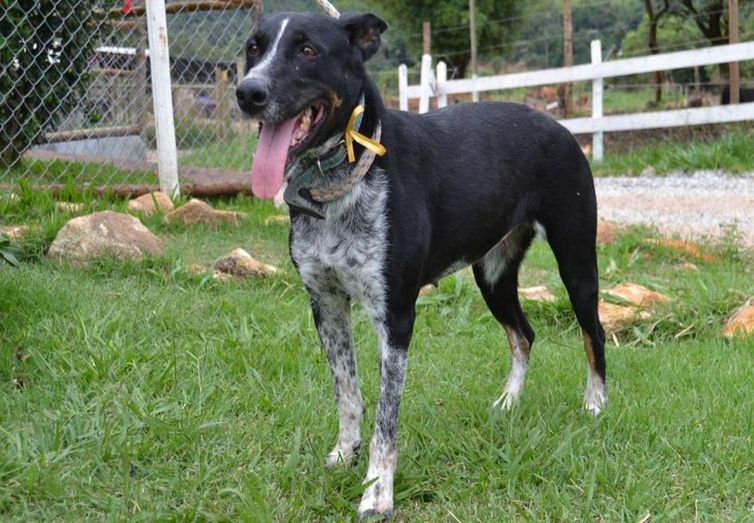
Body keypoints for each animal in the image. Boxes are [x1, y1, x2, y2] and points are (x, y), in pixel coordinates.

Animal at [238, 11, 608, 520]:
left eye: (308, 50)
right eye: (252, 49)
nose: (247, 93)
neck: (346, 175)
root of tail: (561, 127)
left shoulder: (395, 316)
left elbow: (385, 418)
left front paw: (377, 491)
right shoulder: (326, 304)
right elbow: (347, 393)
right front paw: (345, 453)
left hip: (576, 262)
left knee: (594, 332)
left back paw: (595, 404)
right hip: (492, 274)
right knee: (524, 334)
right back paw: (509, 402)